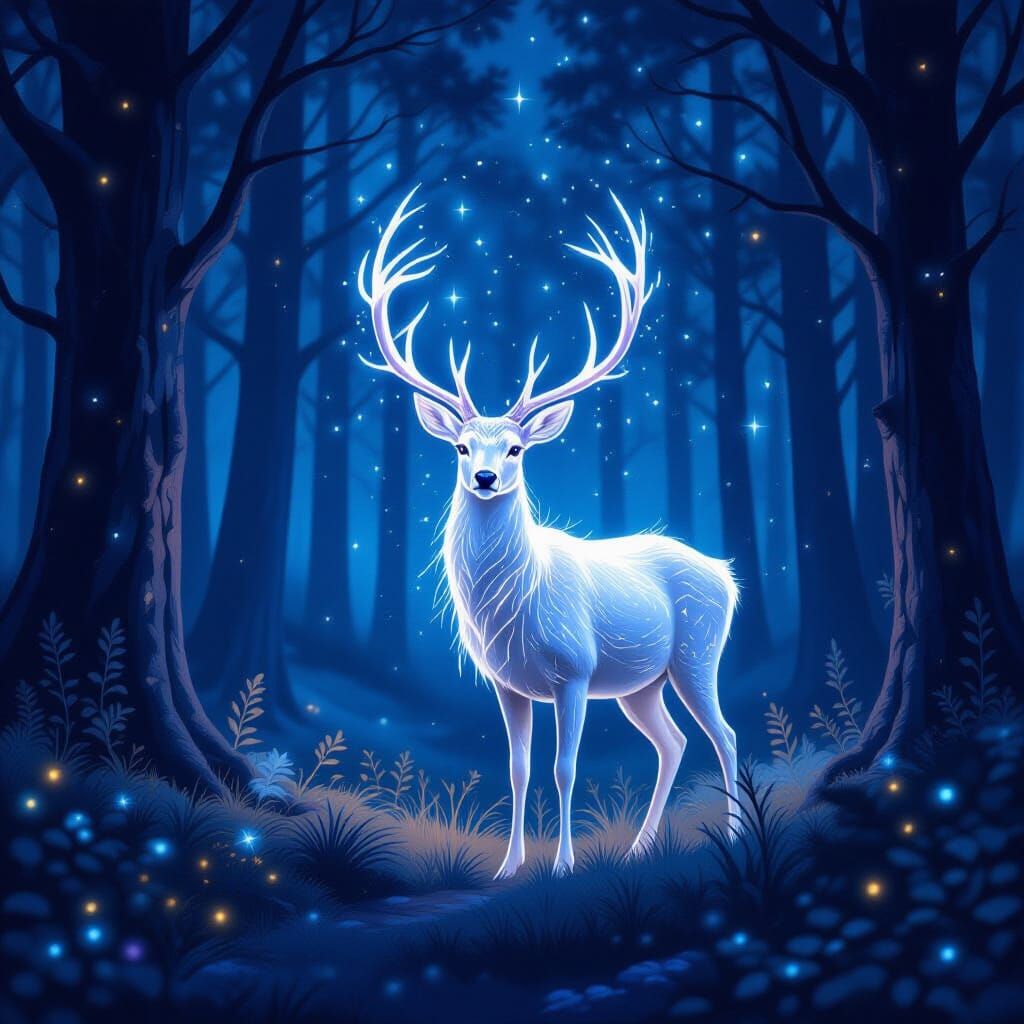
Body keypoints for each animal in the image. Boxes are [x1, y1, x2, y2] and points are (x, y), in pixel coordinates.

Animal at [358, 187, 740, 878]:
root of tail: (727, 576)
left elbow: (564, 770)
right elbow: (516, 768)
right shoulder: (508, 683)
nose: (484, 477)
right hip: (642, 683)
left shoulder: (575, 671)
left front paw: (561, 865)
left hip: (697, 652)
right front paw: (508, 867)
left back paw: (736, 834)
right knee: (672, 742)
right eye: (459, 446)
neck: (512, 609)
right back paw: (639, 849)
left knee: (722, 734)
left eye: (515, 449)